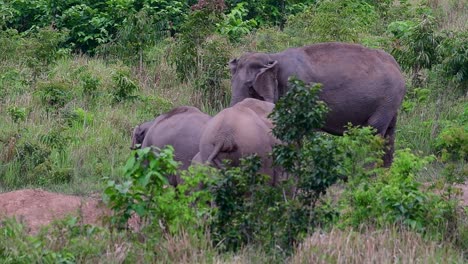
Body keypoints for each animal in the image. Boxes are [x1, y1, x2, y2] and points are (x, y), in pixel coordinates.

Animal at [229, 42, 406, 166]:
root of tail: (397, 66)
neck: (273, 57)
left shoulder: (297, 91)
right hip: (391, 103)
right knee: (389, 134)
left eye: (250, 86)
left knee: (374, 132)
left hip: (386, 101)